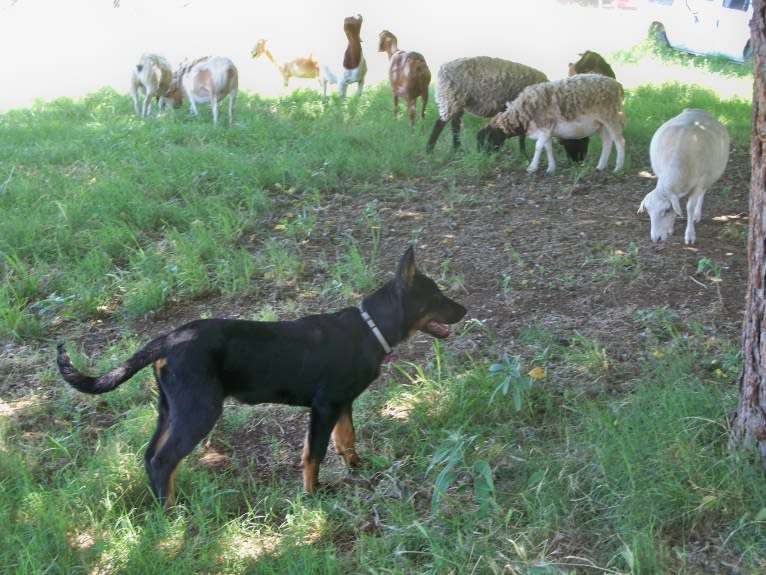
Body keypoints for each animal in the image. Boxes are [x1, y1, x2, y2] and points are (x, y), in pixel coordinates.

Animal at [57, 245, 464, 506]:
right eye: (436, 297)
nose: (464, 309)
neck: (370, 329)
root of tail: (168, 339)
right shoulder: (324, 406)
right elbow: (314, 453)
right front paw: (313, 496)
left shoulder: (342, 404)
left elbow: (346, 440)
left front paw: (359, 468)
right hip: (200, 411)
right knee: (162, 460)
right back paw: (171, 515)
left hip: (170, 410)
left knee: (150, 456)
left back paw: (163, 506)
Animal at [480, 73, 632, 174]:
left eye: (489, 137)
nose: (484, 156)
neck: (522, 114)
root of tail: (617, 86)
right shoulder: (546, 131)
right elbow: (547, 147)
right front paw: (551, 168)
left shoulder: (546, 126)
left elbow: (538, 146)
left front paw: (532, 167)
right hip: (600, 123)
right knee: (607, 142)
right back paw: (600, 166)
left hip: (611, 116)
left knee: (620, 141)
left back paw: (618, 168)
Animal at [636, 108, 732, 245]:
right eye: (648, 211)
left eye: (666, 210)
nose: (656, 239)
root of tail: (697, 109)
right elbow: (677, 204)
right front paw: (670, 228)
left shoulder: (699, 182)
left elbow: (689, 207)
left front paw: (690, 235)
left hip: (709, 176)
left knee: (703, 193)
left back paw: (697, 215)